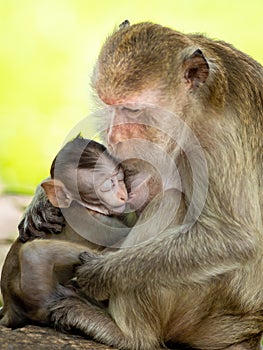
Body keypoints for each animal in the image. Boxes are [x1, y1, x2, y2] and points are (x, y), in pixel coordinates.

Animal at [0, 135, 132, 328]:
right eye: (108, 185)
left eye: (121, 179)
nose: (123, 195)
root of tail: (9, 309)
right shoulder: (98, 222)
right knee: (34, 252)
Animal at [17, 21, 262, 350]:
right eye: (107, 104)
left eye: (132, 110)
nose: (114, 133)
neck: (193, 110)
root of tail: (250, 329)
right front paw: (42, 201)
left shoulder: (219, 140)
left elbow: (236, 238)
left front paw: (101, 274)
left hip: (209, 313)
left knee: (171, 203)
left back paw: (128, 334)